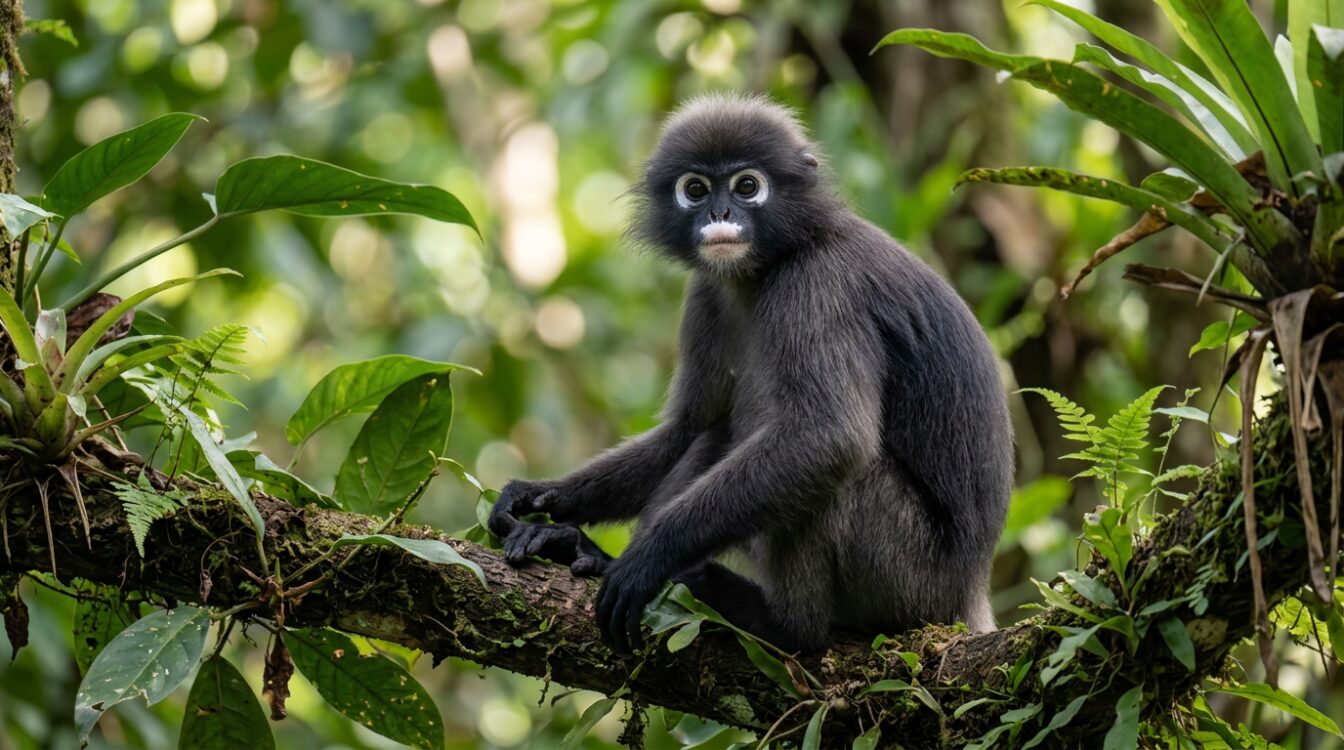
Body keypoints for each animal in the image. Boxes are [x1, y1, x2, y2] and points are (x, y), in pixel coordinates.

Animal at [489, 93, 1013, 654]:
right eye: (695, 189)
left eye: (746, 186)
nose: (719, 213)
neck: (768, 264)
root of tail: (969, 594)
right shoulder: (706, 291)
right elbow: (688, 427)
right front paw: (543, 496)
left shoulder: (818, 285)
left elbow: (829, 436)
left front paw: (646, 559)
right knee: (717, 431)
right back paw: (583, 550)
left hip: (911, 581)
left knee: (840, 469)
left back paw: (779, 624)